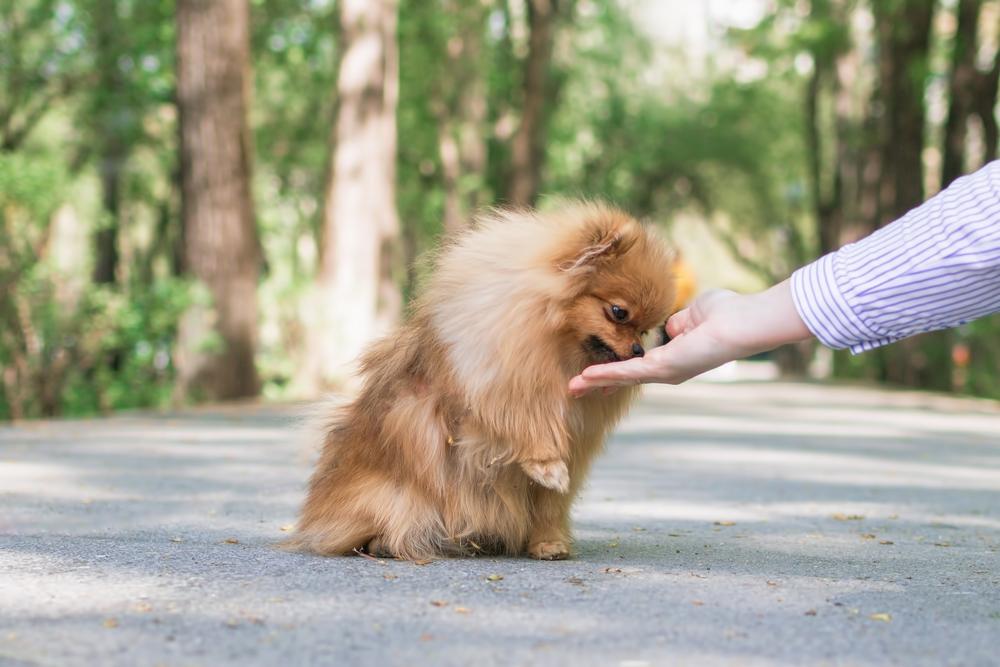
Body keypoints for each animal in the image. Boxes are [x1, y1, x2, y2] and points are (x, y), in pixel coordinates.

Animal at [290, 201, 680, 560]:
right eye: (619, 313)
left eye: (645, 330)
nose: (638, 351)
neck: (556, 350)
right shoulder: (494, 388)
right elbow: (523, 422)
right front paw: (545, 464)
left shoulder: (575, 439)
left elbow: (550, 504)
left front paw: (548, 543)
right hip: (390, 495)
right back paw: (385, 543)